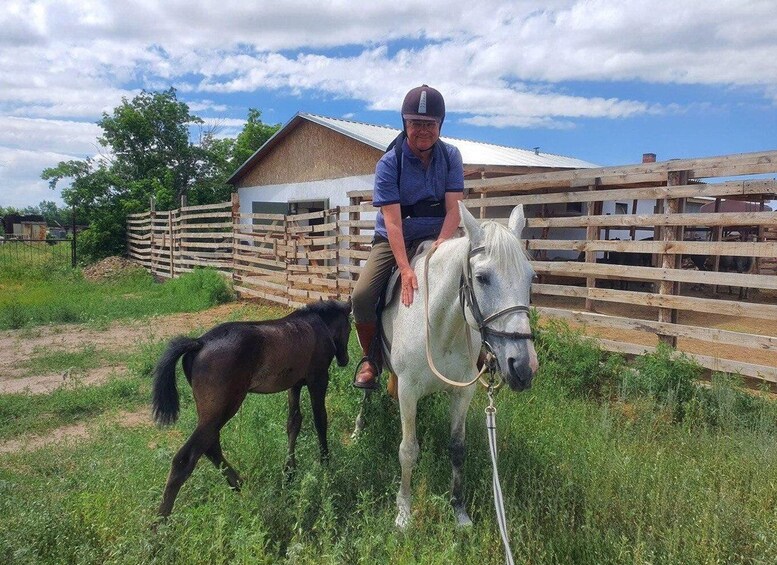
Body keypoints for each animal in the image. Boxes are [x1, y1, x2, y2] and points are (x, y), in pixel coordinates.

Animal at [151, 299, 352, 517]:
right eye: (350, 328)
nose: (345, 360)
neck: (318, 325)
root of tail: (199, 342)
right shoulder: (318, 379)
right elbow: (320, 420)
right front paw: (326, 464)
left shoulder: (295, 384)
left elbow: (294, 423)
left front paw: (289, 472)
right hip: (224, 408)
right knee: (187, 458)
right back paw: (161, 519)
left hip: (212, 413)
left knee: (211, 447)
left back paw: (240, 485)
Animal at [354, 202, 538, 528]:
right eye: (482, 277)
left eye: (530, 277)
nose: (523, 367)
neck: (439, 325)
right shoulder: (408, 391)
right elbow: (408, 450)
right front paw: (404, 512)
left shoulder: (462, 393)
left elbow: (457, 448)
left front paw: (459, 510)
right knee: (366, 392)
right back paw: (358, 427)